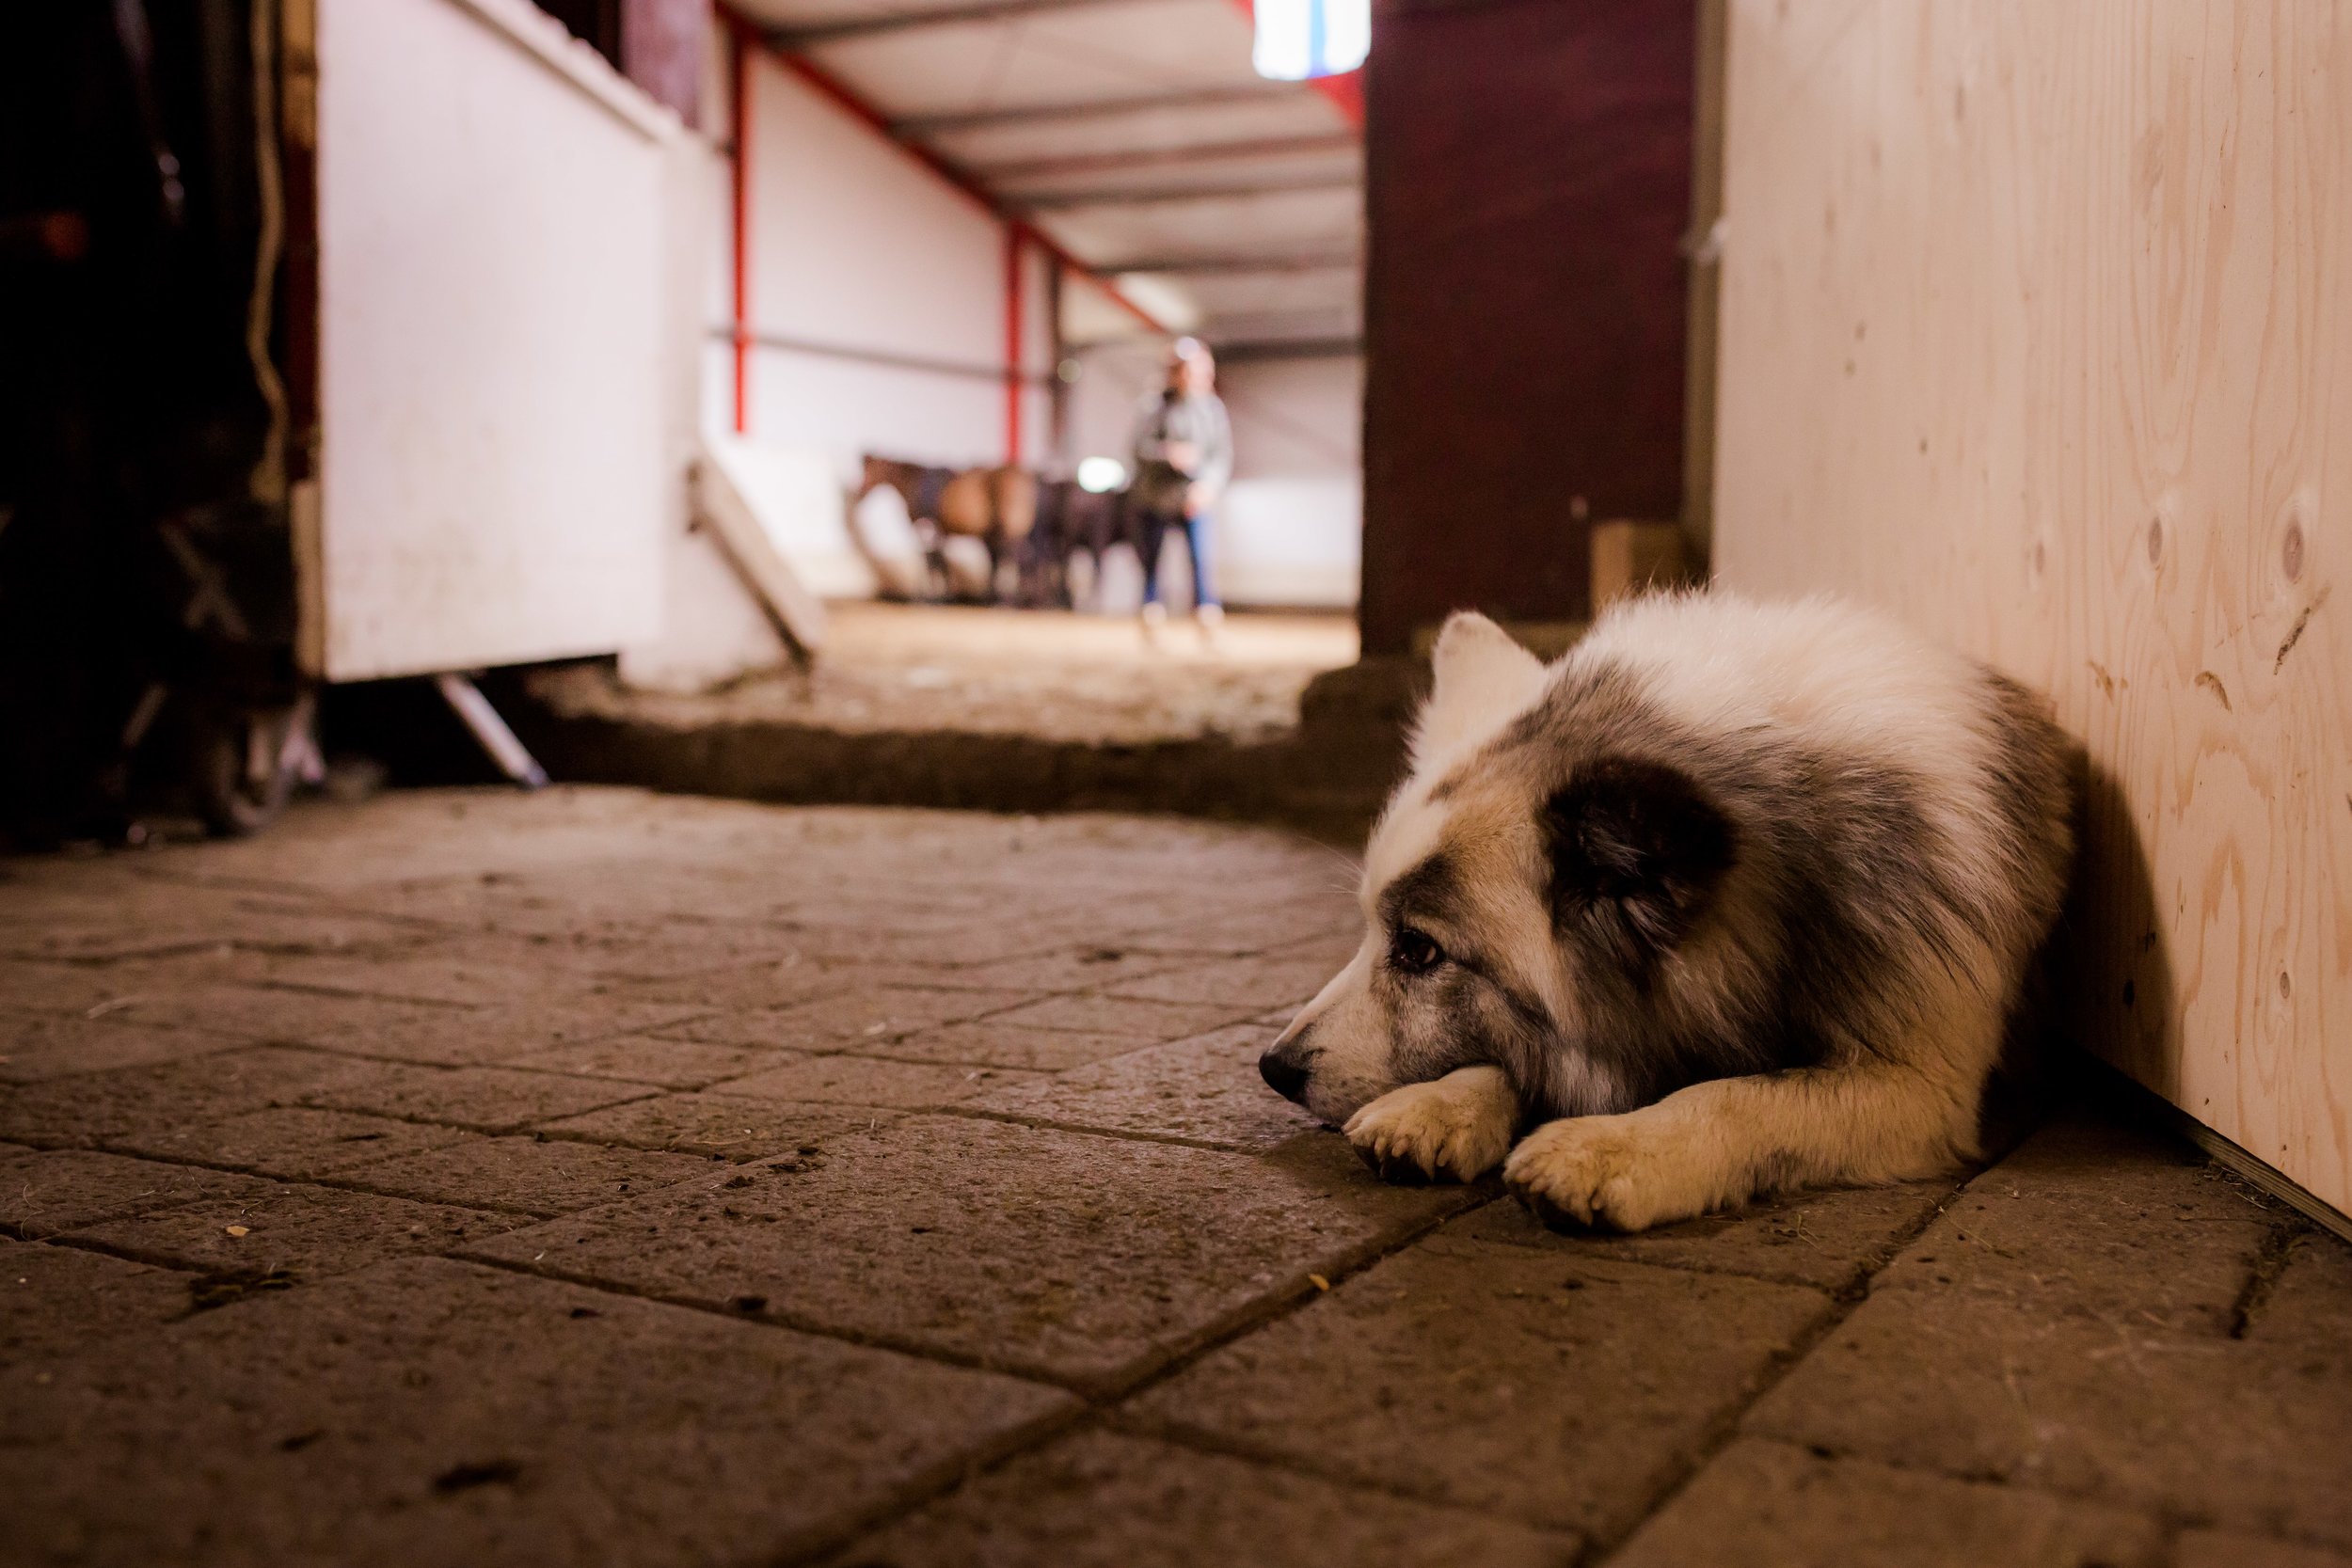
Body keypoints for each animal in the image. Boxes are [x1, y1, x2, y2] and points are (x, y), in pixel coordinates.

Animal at [1261, 594, 2070, 1231]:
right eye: (1374, 931)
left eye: (1420, 950)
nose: (1273, 1068)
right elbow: (1528, 1054)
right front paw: (1441, 1105)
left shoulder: (1920, 1086)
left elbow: (1738, 1097)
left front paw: (1611, 1148)